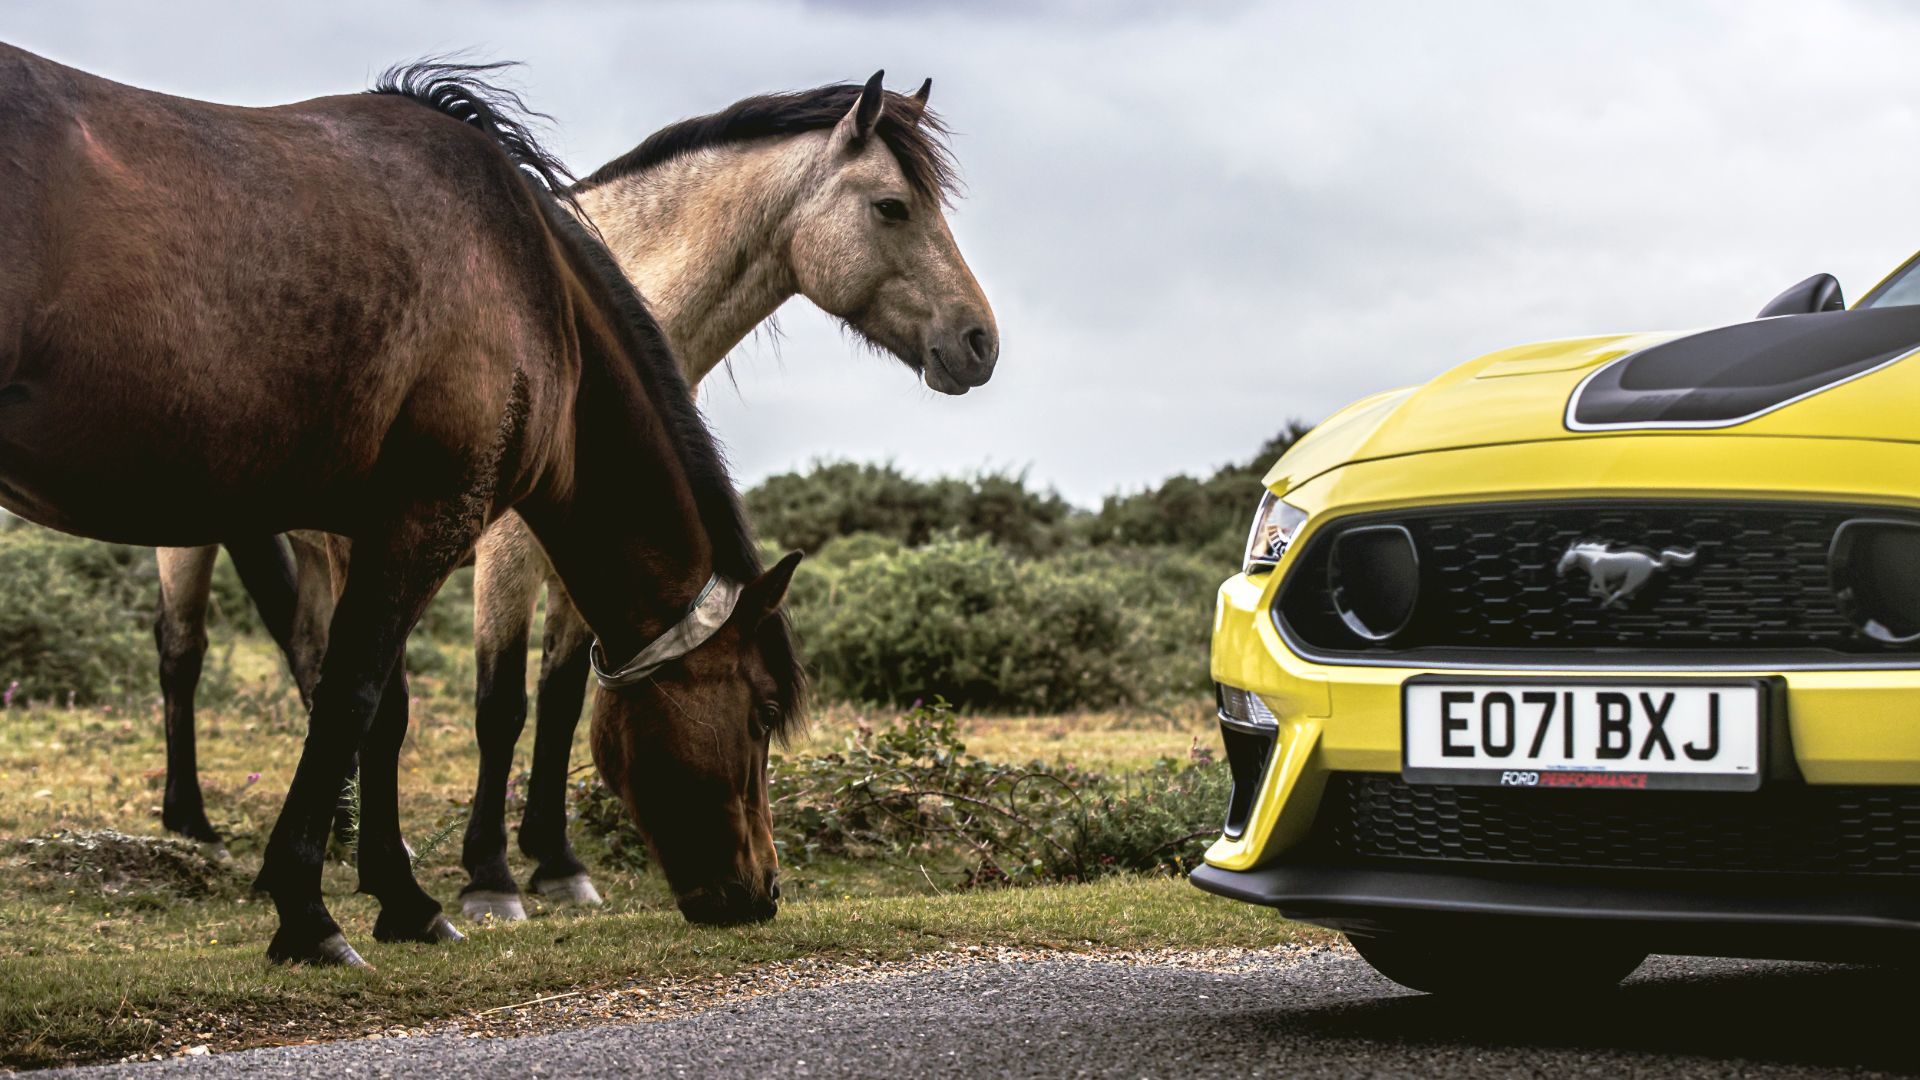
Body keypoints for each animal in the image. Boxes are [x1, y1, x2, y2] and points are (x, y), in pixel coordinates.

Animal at [0, 46, 798, 960]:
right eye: (762, 711)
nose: (765, 891)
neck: (522, 279)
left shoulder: (364, 534)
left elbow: (381, 711)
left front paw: (399, 897)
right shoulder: (421, 524)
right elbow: (355, 697)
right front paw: (312, 913)